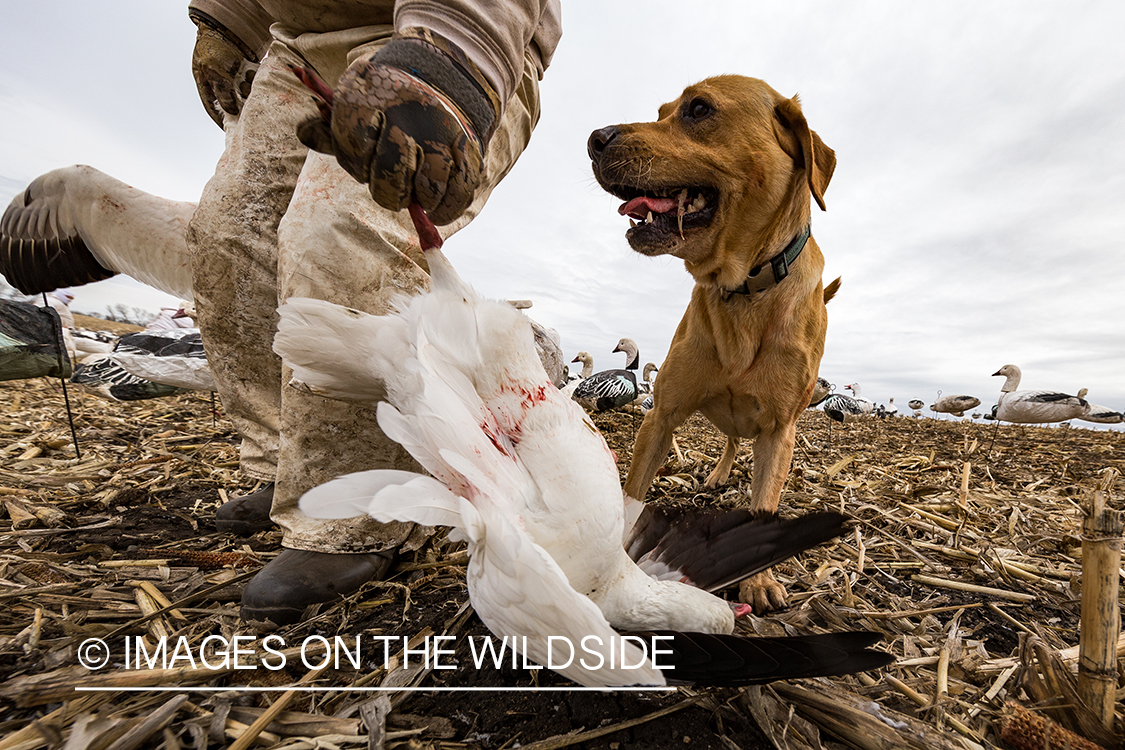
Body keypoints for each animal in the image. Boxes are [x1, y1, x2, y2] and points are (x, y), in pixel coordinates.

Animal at [589, 76, 837, 611]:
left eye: (698, 109)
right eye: (660, 111)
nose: (595, 139)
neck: (743, 287)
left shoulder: (780, 430)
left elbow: (765, 505)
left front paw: (759, 580)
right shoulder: (661, 416)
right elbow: (634, 491)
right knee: (729, 437)